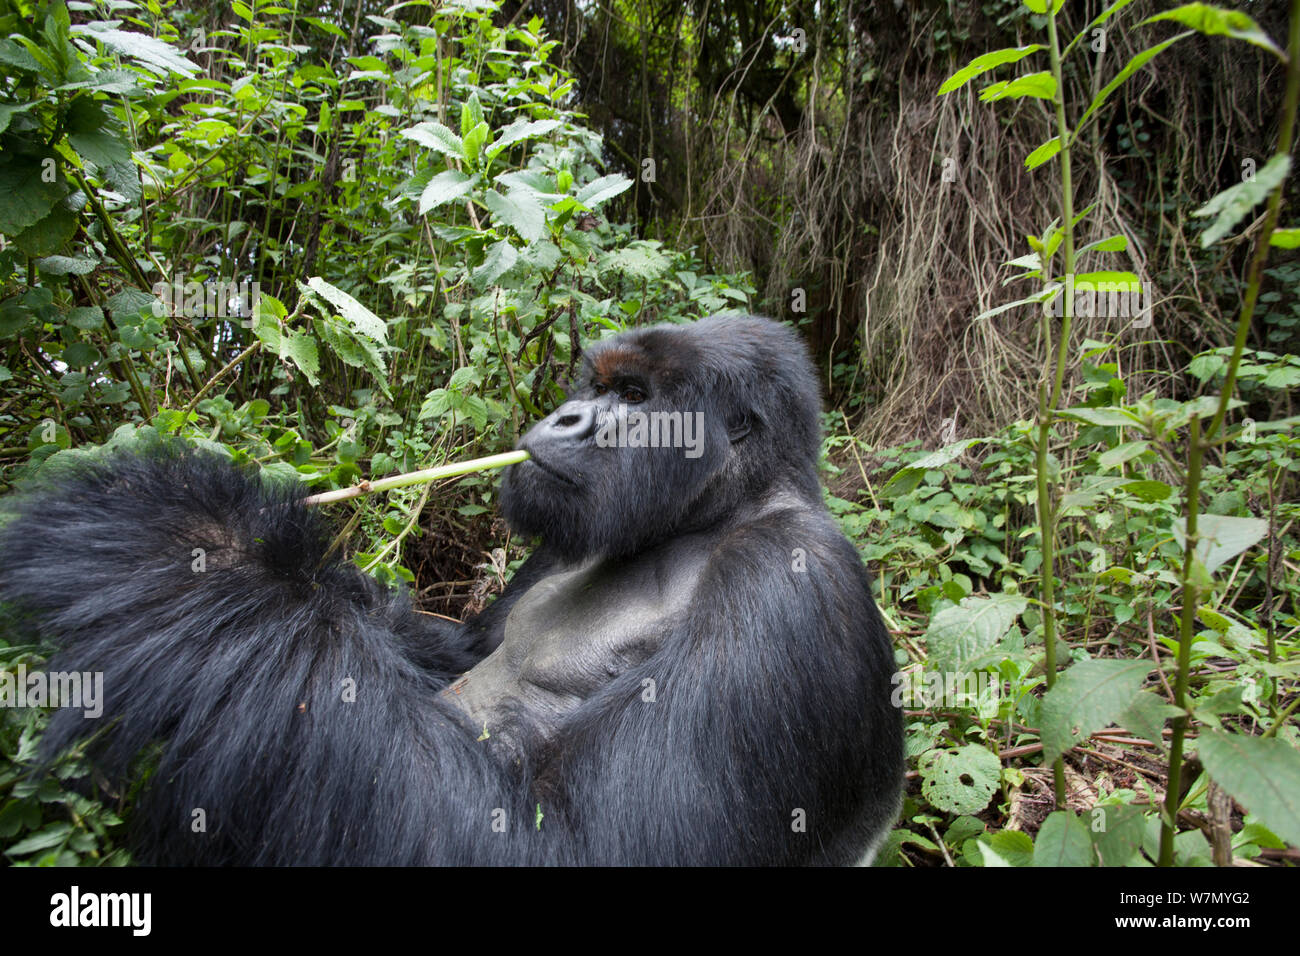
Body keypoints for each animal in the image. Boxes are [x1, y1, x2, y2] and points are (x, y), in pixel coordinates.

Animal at [0, 316, 904, 868]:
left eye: (634, 397)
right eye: (596, 385)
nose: (567, 416)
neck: (706, 519)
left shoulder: (790, 578)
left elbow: (576, 842)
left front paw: (199, 552)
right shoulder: (554, 542)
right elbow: (457, 650)